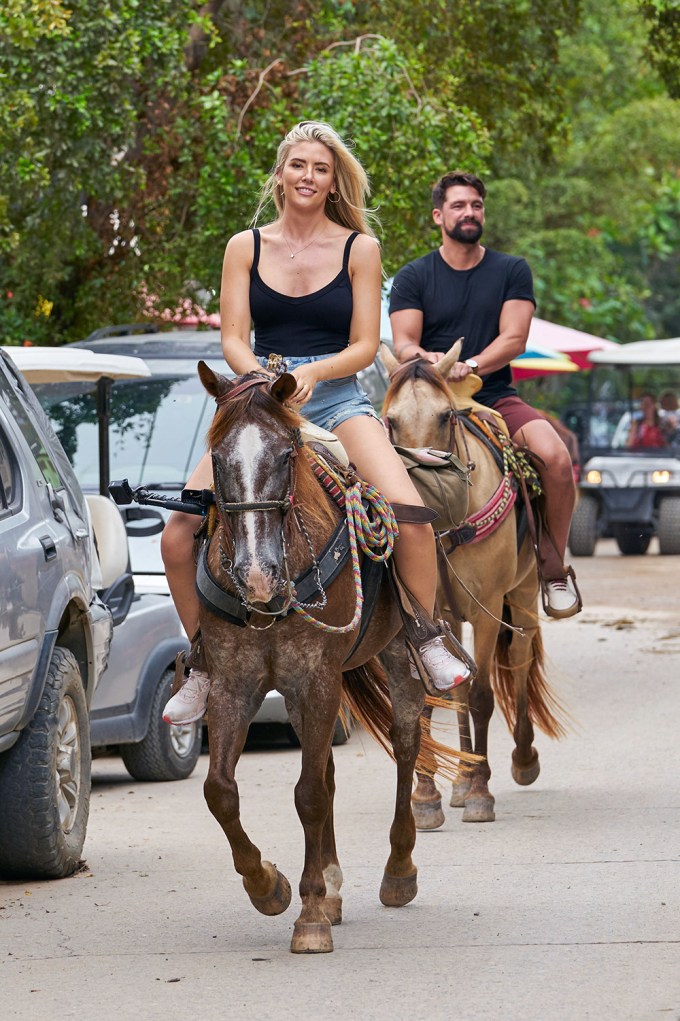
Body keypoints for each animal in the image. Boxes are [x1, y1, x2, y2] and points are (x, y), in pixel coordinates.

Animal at [192, 363, 463, 951]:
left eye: (285, 455)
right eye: (218, 459)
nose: (256, 574)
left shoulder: (317, 679)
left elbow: (310, 794)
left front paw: (311, 912)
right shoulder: (235, 684)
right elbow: (220, 790)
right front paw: (268, 886)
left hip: (397, 657)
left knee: (407, 745)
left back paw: (399, 871)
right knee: (330, 768)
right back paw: (334, 885)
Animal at [377, 347, 563, 824]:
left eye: (446, 416)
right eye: (390, 420)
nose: (419, 490)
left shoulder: (486, 608)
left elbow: (481, 696)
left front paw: (481, 792)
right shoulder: (426, 612)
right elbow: (435, 698)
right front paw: (427, 797)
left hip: (522, 594)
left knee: (518, 661)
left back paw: (520, 760)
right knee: (460, 688)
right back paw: (460, 777)